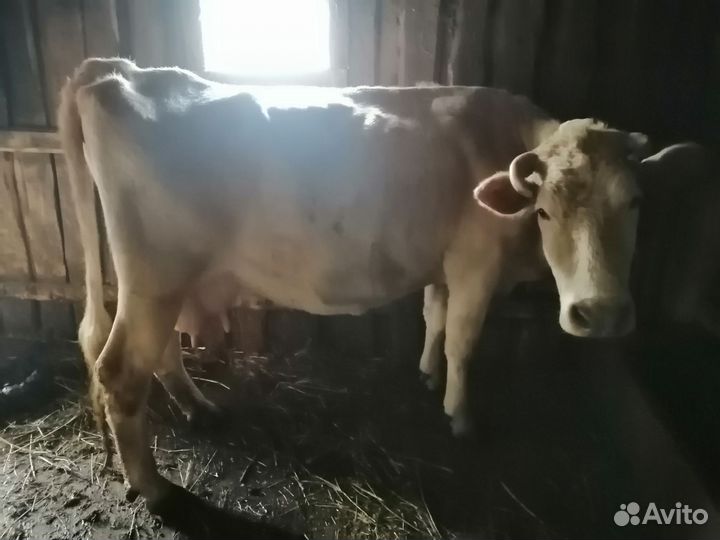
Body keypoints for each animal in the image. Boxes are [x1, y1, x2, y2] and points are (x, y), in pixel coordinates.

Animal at [58, 57, 677, 511]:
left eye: (636, 202)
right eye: (545, 210)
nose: (600, 313)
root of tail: (122, 71)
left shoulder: (443, 264)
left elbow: (435, 317)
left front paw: (427, 375)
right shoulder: (475, 263)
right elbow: (464, 340)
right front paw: (461, 417)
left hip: (167, 282)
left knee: (161, 354)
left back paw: (200, 409)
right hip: (155, 277)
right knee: (121, 371)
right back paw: (154, 486)